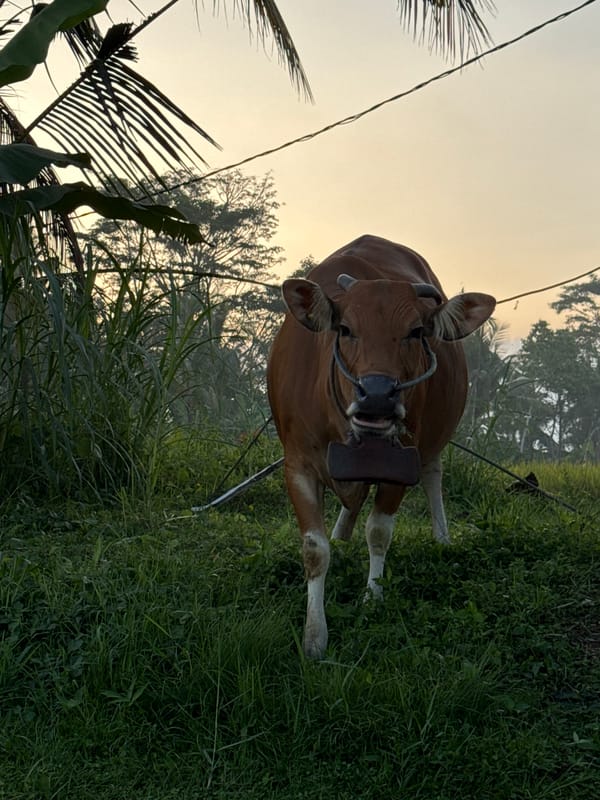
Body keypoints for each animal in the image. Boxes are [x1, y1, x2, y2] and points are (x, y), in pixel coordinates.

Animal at [267, 235, 495, 659]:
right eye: (344, 328)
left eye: (416, 332)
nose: (376, 395)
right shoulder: (298, 464)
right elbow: (315, 549)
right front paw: (314, 635)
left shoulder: (401, 462)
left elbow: (378, 533)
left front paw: (372, 600)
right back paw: (342, 531)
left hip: (433, 443)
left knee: (433, 475)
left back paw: (442, 536)